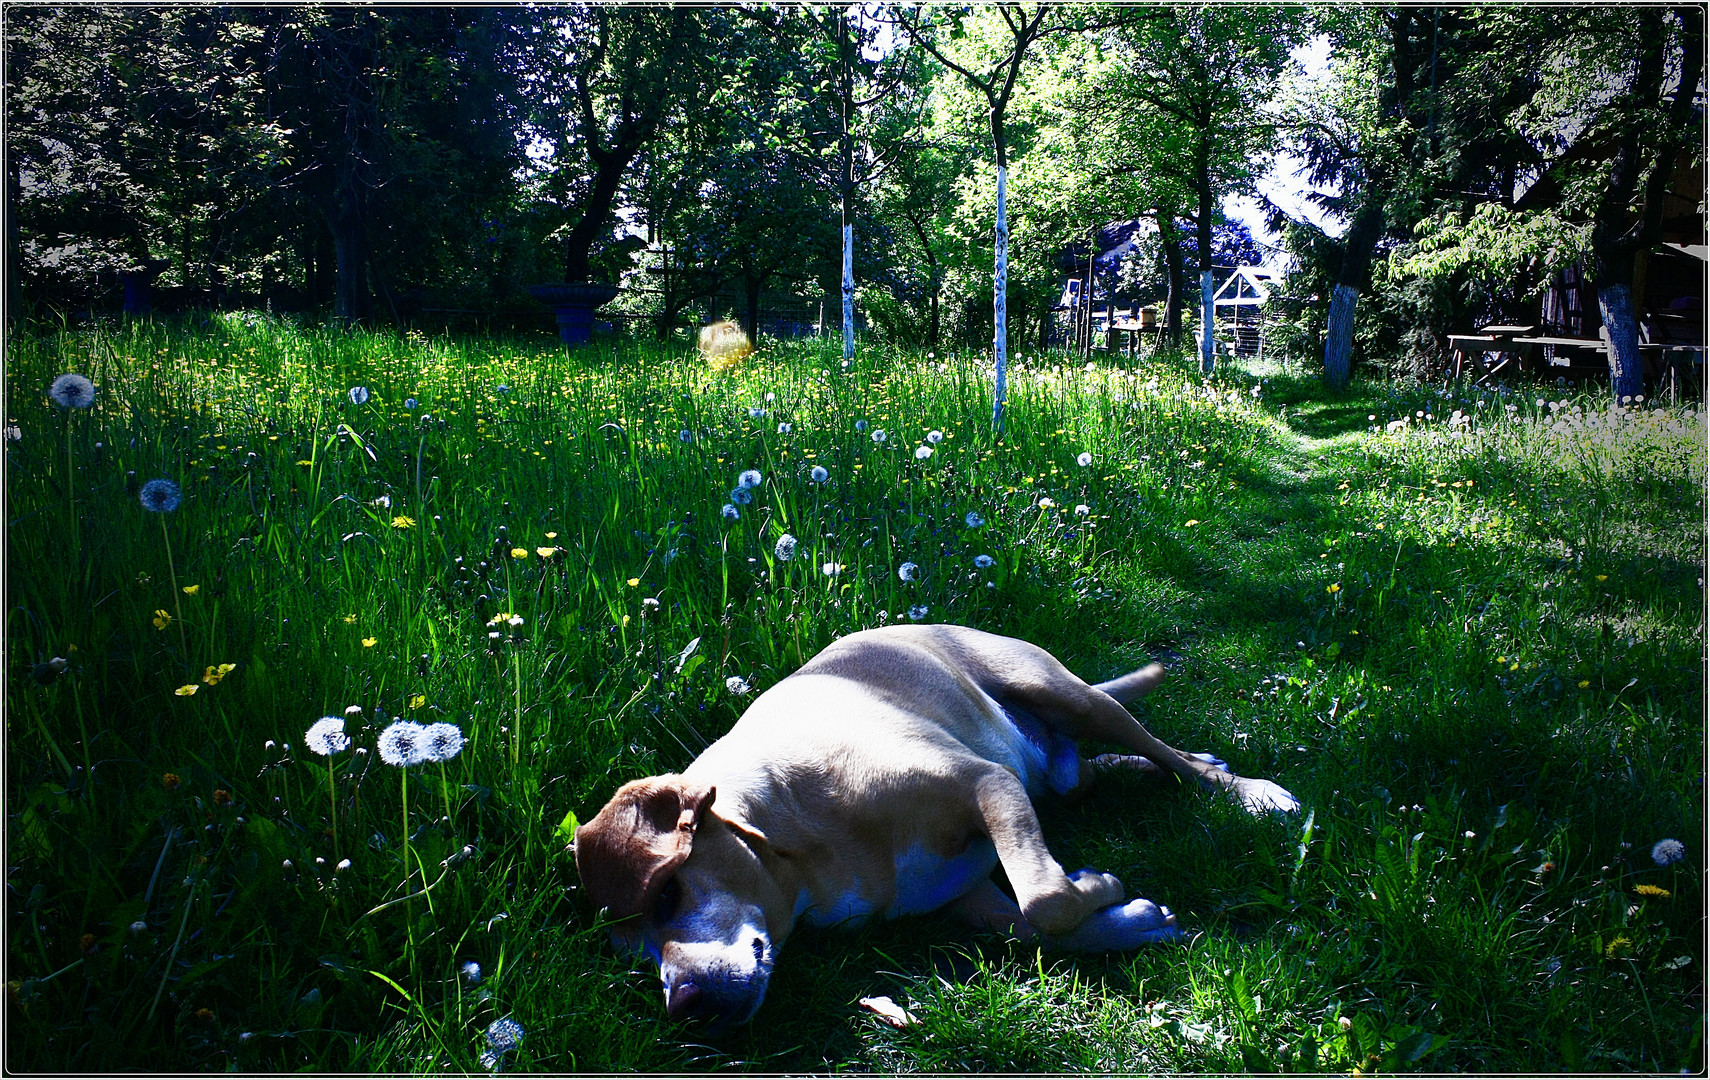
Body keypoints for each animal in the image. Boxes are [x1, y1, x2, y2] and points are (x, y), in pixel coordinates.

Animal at [571, 618, 1292, 1025]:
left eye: (668, 894)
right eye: (638, 959)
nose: (683, 1006)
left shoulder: (988, 785)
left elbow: (1048, 899)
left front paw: (1100, 889)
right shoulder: (965, 894)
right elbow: (1037, 927)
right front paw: (1130, 917)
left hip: (1067, 696)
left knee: (1160, 751)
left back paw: (1251, 792)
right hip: (1062, 771)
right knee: (1102, 769)